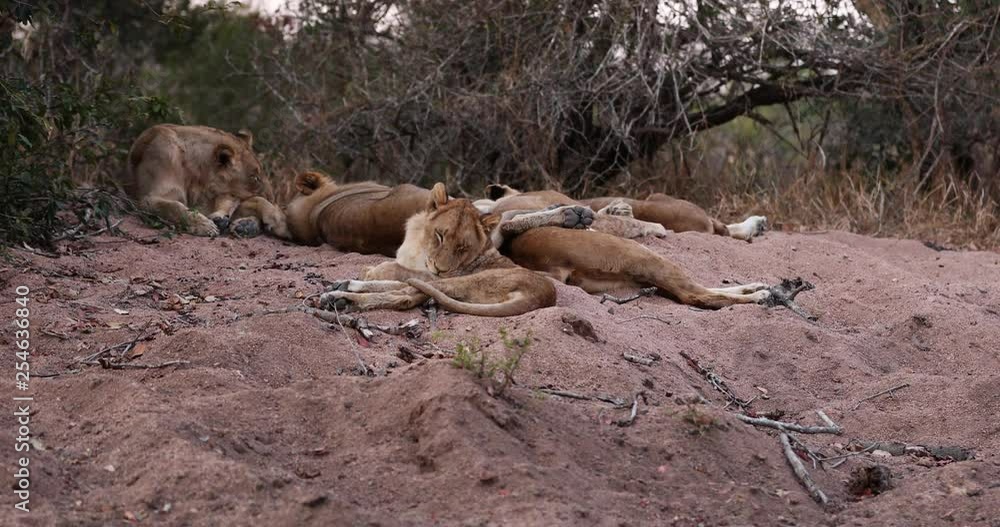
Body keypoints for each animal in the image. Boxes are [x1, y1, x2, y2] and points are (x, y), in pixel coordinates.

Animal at [122, 124, 288, 238]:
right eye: (255, 177)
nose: (273, 198)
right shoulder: (147, 199)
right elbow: (175, 207)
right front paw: (205, 226)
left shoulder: (207, 203)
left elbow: (255, 201)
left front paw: (277, 221)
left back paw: (245, 226)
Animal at [319, 183, 590, 317]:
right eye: (440, 236)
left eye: (462, 246)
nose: (440, 268)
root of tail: (542, 295)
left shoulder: (432, 275)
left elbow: (395, 274)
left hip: (466, 281)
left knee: (404, 296)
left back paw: (340, 298)